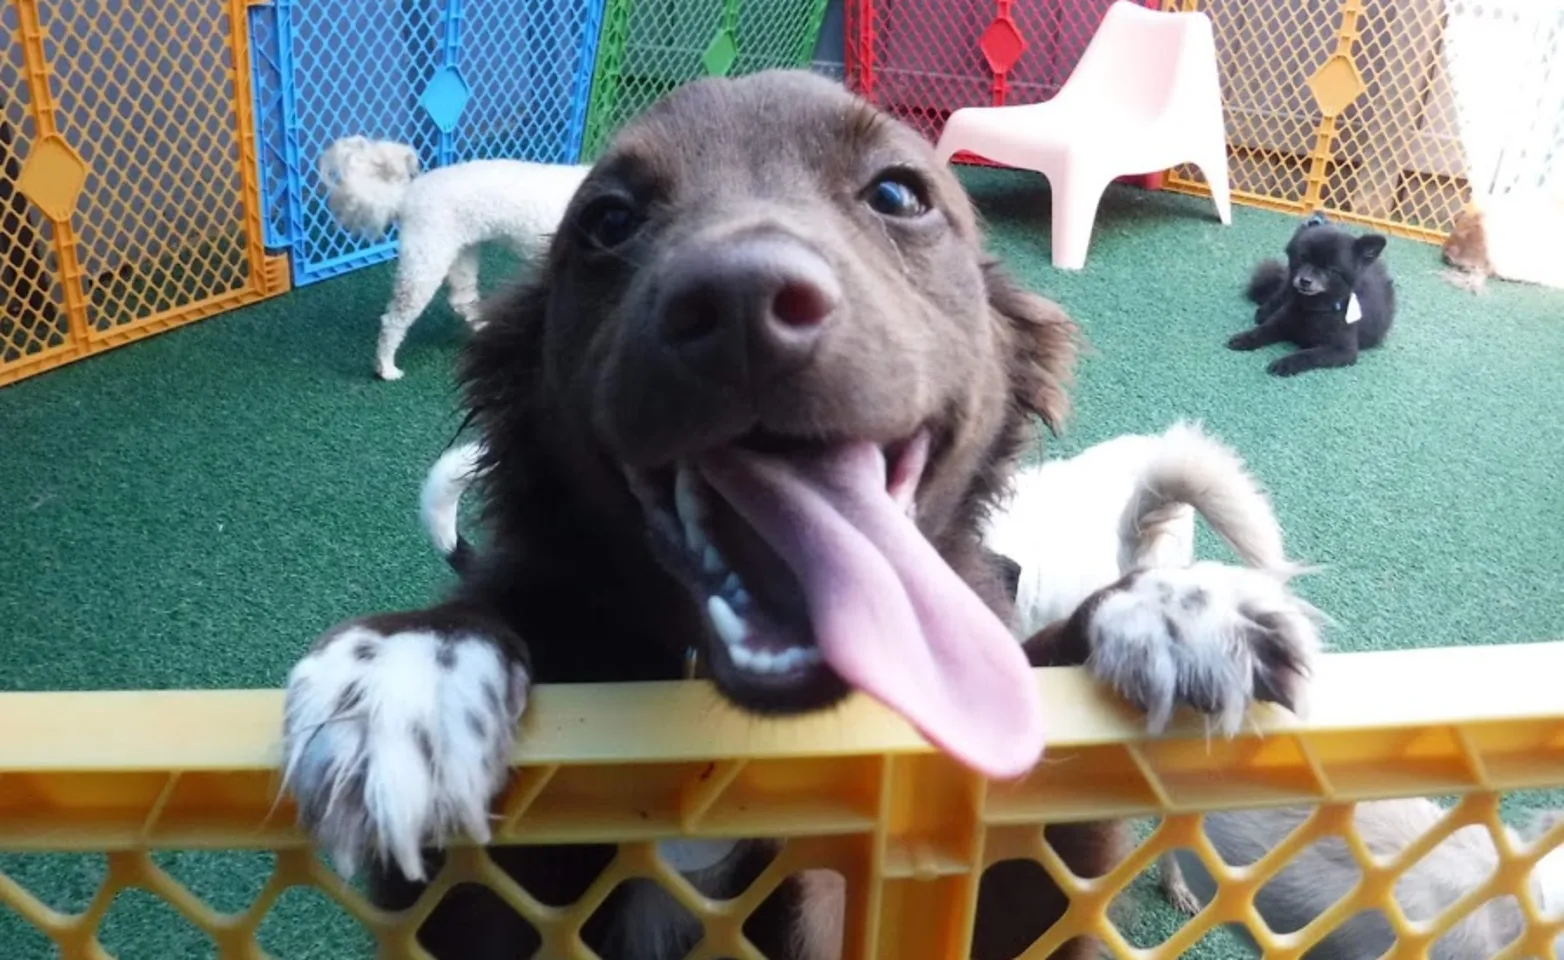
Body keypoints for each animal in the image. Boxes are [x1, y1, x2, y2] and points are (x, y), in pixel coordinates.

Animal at [314, 136, 588, 383]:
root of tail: (407, 194)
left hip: (460, 253)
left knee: (461, 301)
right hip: (426, 263)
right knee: (393, 320)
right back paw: (386, 368)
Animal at [1226, 212, 1401, 378]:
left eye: (1331, 269)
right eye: (1302, 258)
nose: (1305, 280)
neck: (1314, 308)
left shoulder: (1343, 350)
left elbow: (1309, 355)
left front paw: (1285, 364)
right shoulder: (1283, 320)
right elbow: (1263, 330)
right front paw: (1244, 338)